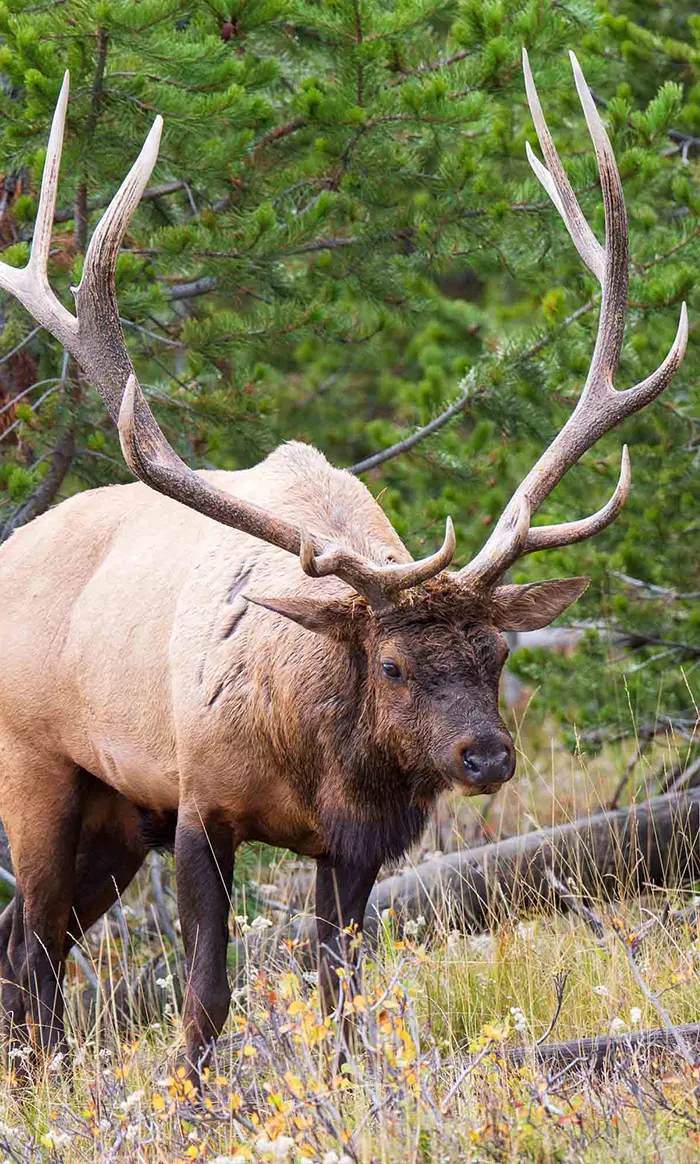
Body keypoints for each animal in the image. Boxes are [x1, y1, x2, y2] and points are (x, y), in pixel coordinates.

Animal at [0, 50, 687, 1082]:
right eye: (393, 664)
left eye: (498, 654)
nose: (486, 754)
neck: (315, 755)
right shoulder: (200, 803)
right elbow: (204, 998)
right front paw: (193, 1097)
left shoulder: (359, 843)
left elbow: (341, 995)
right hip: (39, 770)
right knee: (37, 949)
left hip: (117, 817)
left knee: (20, 943)